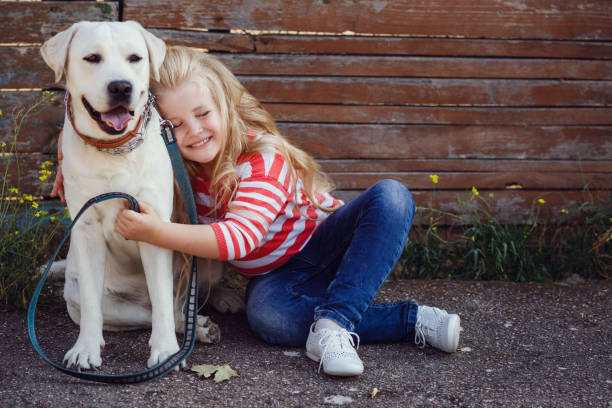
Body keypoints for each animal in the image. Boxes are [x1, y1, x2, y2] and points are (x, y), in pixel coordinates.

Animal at [39, 21, 241, 372]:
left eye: (135, 58)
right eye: (92, 58)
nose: (121, 87)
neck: (115, 149)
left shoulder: (153, 225)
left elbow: (161, 301)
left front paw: (165, 352)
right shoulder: (87, 230)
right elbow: (95, 304)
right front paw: (85, 349)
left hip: (204, 256)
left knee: (181, 298)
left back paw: (218, 304)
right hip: (89, 298)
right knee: (152, 312)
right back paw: (198, 326)